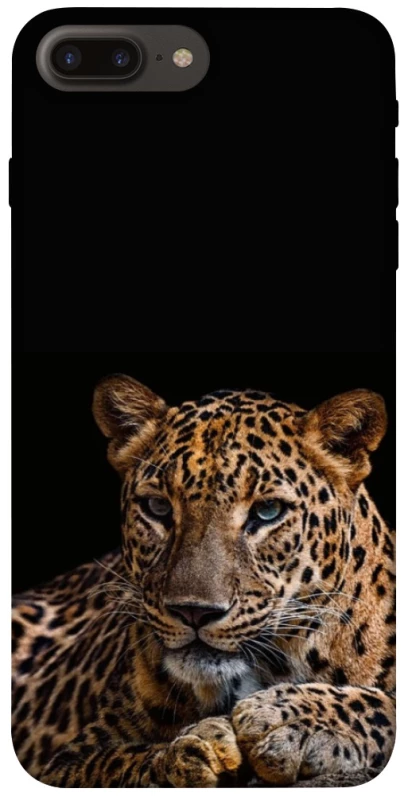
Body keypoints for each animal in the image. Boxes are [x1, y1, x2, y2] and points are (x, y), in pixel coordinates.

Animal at [12, 374, 396, 787]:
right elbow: (121, 763)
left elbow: (381, 703)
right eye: (158, 508)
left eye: (268, 511)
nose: (194, 612)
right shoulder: (67, 762)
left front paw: (286, 719)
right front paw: (192, 752)